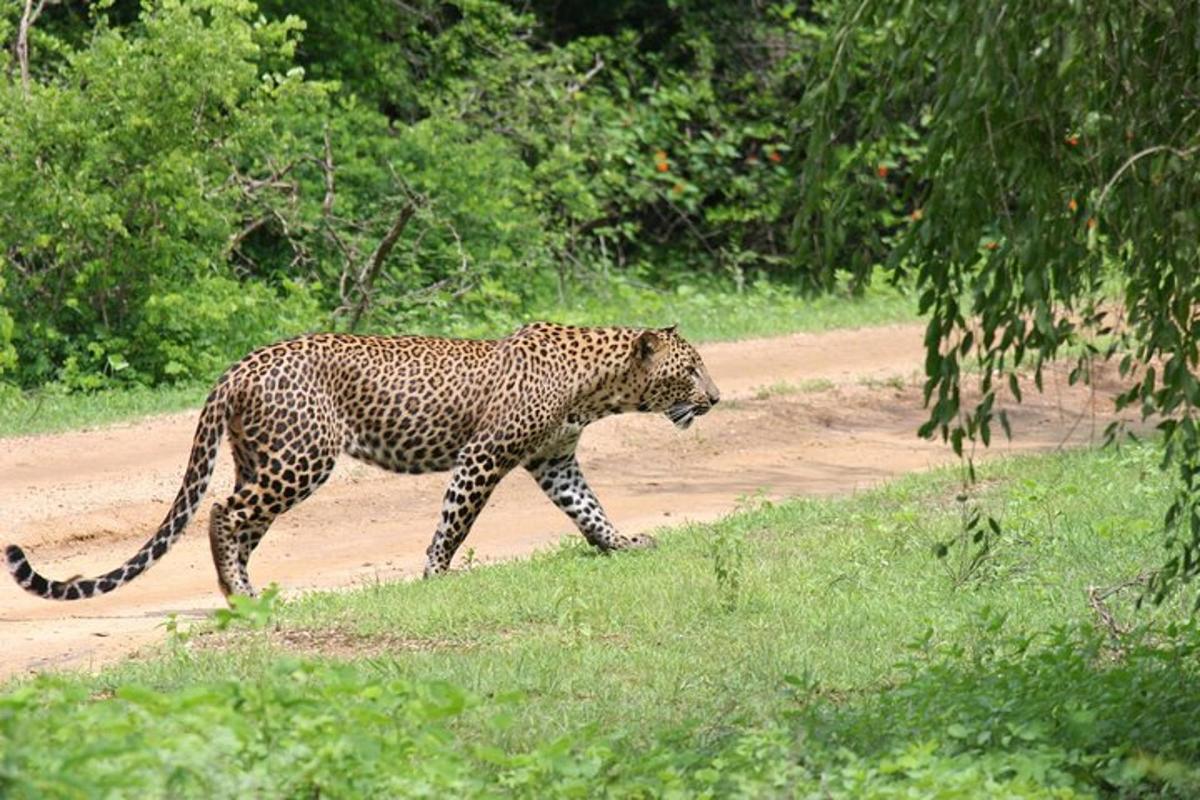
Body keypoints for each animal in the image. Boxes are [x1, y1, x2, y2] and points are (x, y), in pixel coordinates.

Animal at [4, 321, 715, 599]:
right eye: (691, 370)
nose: (715, 398)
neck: (600, 389)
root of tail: (239, 366)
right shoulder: (485, 454)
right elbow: (456, 520)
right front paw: (435, 574)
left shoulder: (555, 462)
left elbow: (589, 510)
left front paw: (623, 544)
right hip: (300, 458)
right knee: (222, 513)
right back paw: (240, 595)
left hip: (263, 458)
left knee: (238, 521)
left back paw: (246, 595)